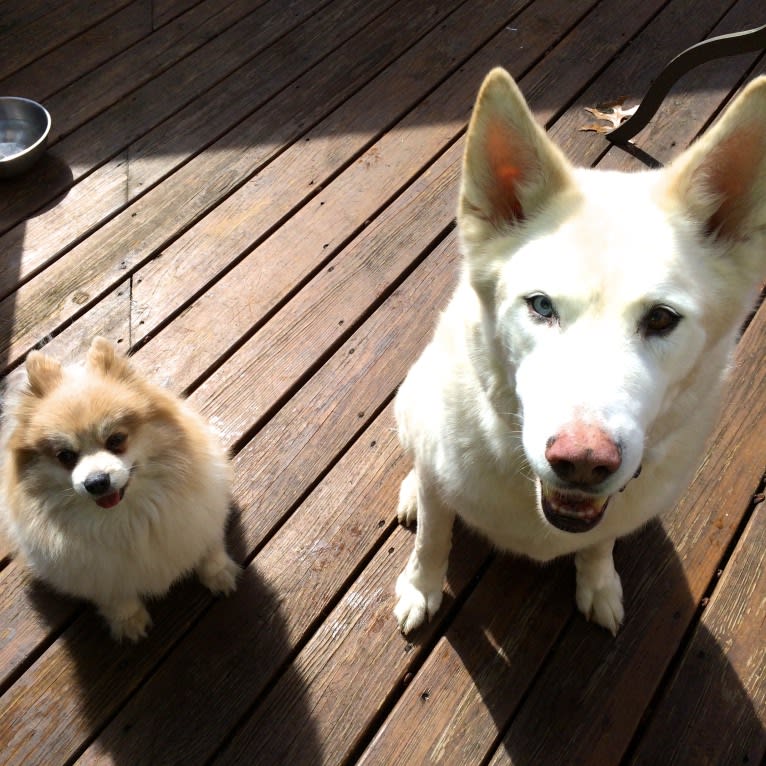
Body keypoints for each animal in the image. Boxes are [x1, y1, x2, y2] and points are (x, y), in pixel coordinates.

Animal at [0, 340, 240, 644]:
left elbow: (210, 551)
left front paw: (220, 576)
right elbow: (116, 597)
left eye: (116, 439)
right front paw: (129, 622)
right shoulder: (99, 573)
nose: (96, 481)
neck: (126, 517)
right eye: (65, 456)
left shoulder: (199, 520)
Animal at [396, 69, 766, 636]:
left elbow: (599, 544)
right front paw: (420, 589)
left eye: (661, 318)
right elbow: (432, 540)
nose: (583, 463)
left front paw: (599, 585)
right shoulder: (442, 490)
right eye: (541, 305)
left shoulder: (610, 514)